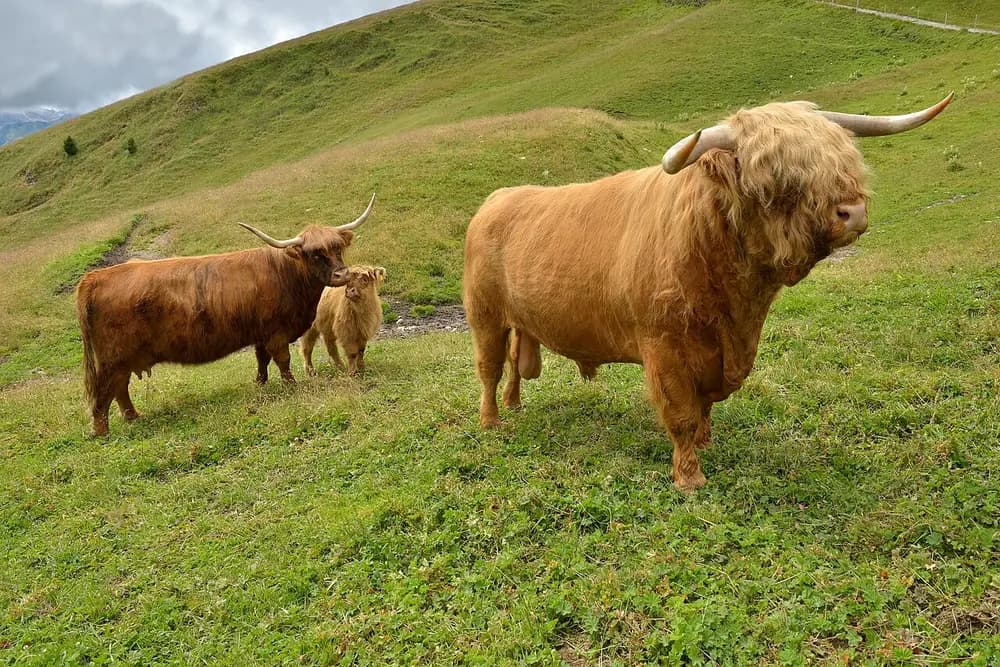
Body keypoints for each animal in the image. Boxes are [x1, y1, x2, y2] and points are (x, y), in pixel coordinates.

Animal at [76, 195, 375, 436]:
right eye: (315, 254)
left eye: (338, 248)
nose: (342, 275)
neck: (287, 275)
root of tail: (94, 277)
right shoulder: (276, 332)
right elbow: (283, 360)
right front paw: (291, 385)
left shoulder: (260, 333)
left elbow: (262, 359)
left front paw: (261, 384)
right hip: (111, 360)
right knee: (104, 395)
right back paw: (102, 432)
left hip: (121, 361)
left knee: (120, 389)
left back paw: (133, 417)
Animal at [463, 95, 952, 491]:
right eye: (777, 180)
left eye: (843, 160)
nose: (853, 212)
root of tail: (494, 200)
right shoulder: (663, 348)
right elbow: (681, 413)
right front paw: (689, 477)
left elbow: (706, 407)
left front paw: (707, 443)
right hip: (484, 314)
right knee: (489, 368)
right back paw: (491, 423)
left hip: (519, 319)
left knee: (514, 363)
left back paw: (515, 405)